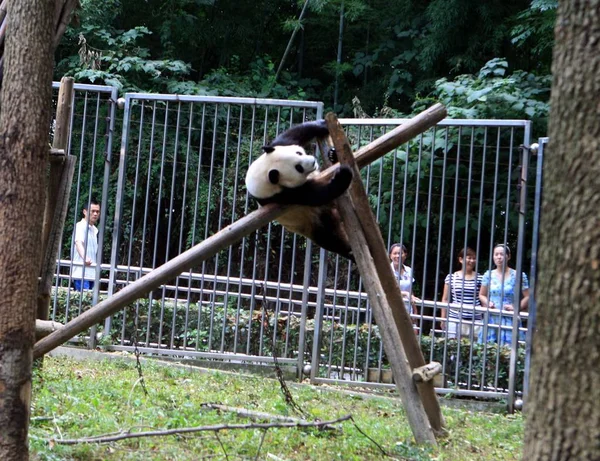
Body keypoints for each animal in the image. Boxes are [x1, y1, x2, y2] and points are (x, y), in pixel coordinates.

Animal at [246, 120, 354, 260]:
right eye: (298, 168)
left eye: (299, 153)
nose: (313, 161)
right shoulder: (284, 196)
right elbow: (315, 195)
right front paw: (344, 175)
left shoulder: (276, 147)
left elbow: (294, 135)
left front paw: (323, 125)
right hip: (312, 224)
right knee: (330, 238)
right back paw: (349, 251)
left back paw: (333, 155)